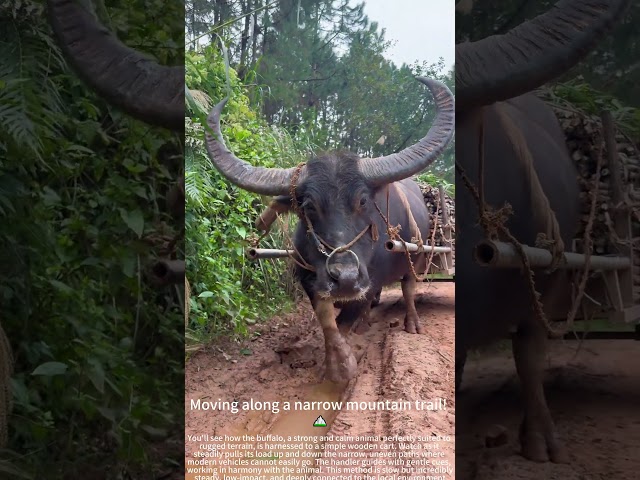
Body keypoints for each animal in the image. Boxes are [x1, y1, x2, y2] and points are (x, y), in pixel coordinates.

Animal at [205, 80, 454, 382]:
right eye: (309, 207)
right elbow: (328, 321)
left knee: (408, 288)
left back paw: (412, 323)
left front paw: (342, 366)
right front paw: (336, 364)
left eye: (363, 201)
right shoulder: (310, 279)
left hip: (414, 258)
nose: (345, 277)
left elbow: (344, 321)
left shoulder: (369, 280)